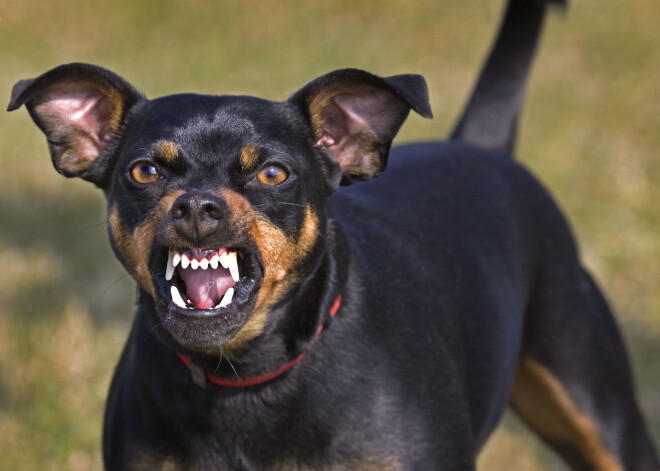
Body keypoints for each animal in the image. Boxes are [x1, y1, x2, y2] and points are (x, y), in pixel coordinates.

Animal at [6, 0, 660, 470]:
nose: (196, 207)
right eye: (145, 171)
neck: (247, 377)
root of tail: (481, 148)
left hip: (600, 410)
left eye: (273, 173)